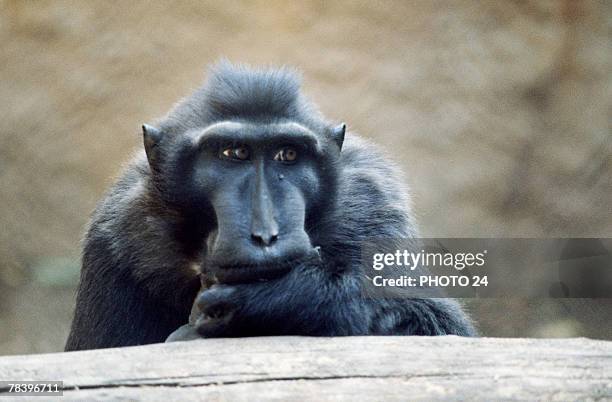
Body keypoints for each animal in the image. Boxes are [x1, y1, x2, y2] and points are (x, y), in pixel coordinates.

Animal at [65, 61, 478, 350]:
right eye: (232, 153)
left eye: (287, 155)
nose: (265, 235)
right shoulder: (118, 232)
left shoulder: (371, 205)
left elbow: (441, 328)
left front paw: (278, 300)